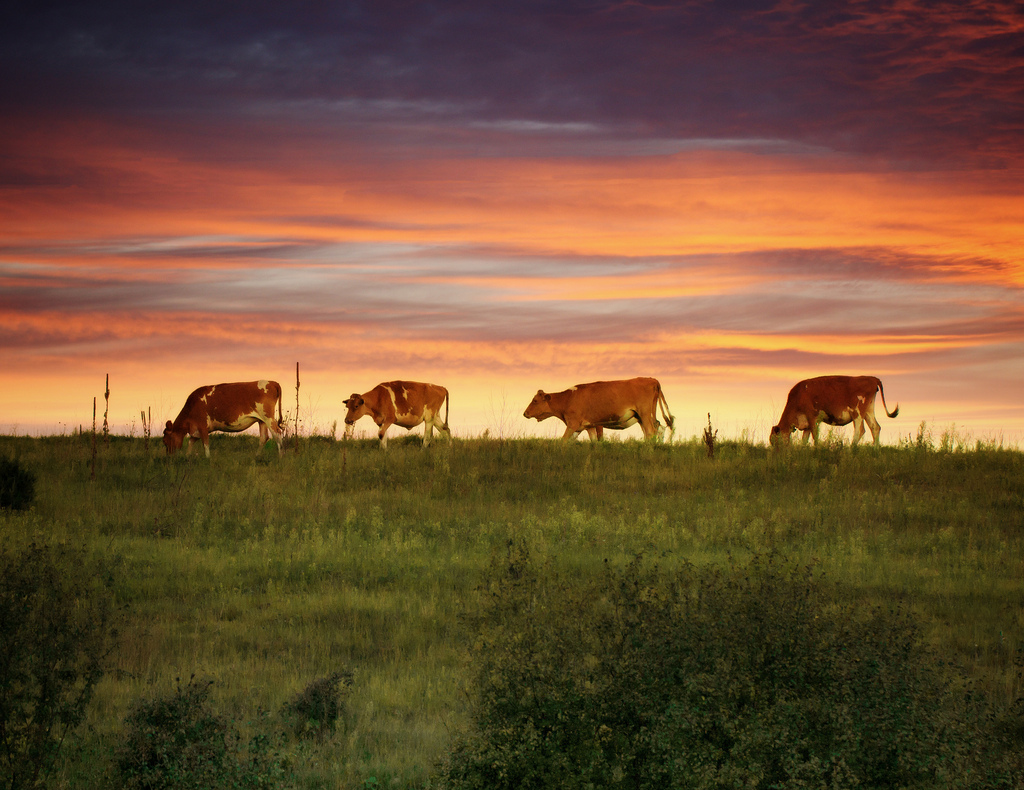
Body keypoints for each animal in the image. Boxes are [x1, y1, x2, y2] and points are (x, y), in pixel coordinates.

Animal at [524, 379, 675, 442]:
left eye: (535, 400)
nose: (525, 413)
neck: (568, 398)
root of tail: (652, 379)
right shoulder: (587, 426)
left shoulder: (573, 424)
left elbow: (563, 440)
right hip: (644, 416)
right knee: (657, 429)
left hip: (644, 414)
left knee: (651, 432)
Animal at [770, 375, 901, 448]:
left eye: (776, 441)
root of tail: (872, 378)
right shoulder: (806, 422)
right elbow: (804, 440)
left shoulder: (813, 417)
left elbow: (815, 435)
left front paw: (817, 449)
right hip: (868, 411)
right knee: (875, 427)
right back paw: (875, 449)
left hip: (857, 413)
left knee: (860, 430)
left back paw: (851, 449)